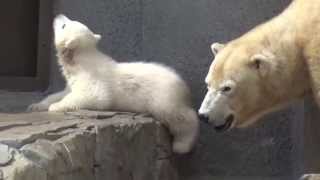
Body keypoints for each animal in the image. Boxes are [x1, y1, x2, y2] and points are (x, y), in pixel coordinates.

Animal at [30, 14, 200, 154]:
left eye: (64, 25)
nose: (58, 15)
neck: (82, 59)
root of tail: (183, 85)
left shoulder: (91, 76)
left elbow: (95, 96)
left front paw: (56, 106)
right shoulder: (74, 78)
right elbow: (62, 92)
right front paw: (36, 105)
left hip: (163, 95)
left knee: (178, 116)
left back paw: (182, 144)